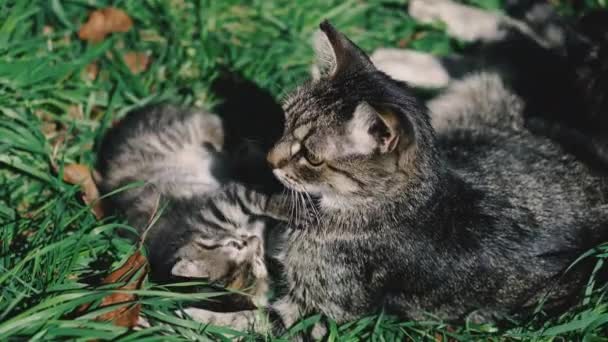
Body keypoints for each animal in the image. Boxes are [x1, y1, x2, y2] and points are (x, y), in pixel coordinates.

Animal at [185, 20, 608, 338]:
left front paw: (190, 315)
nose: (271, 159)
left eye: (312, 157)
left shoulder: (321, 312)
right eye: (285, 123)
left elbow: (252, 321)